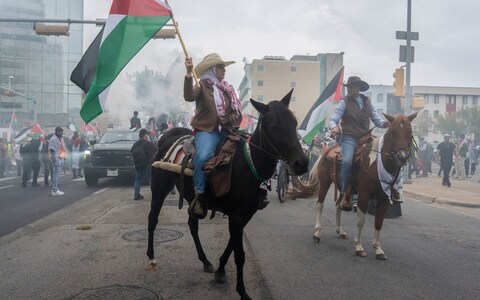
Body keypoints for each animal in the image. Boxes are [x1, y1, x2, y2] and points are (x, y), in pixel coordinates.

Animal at [146, 89, 308, 300]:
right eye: (273, 127)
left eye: (294, 123)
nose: (302, 163)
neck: (247, 164)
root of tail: (168, 139)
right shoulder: (236, 215)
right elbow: (239, 254)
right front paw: (242, 291)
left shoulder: (246, 214)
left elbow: (232, 244)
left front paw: (220, 270)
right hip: (159, 188)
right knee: (152, 219)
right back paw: (151, 257)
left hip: (193, 198)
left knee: (192, 225)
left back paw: (205, 261)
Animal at [288, 113, 416, 260]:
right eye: (393, 132)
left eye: (410, 133)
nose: (403, 157)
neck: (376, 164)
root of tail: (327, 151)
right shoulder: (364, 195)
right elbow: (361, 221)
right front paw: (359, 247)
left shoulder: (384, 199)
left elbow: (378, 222)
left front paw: (378, 249)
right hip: (325, 183)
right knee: (320, 205)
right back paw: (317, 233)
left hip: (342, 186)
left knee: (338, 205)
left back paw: (340, 230)